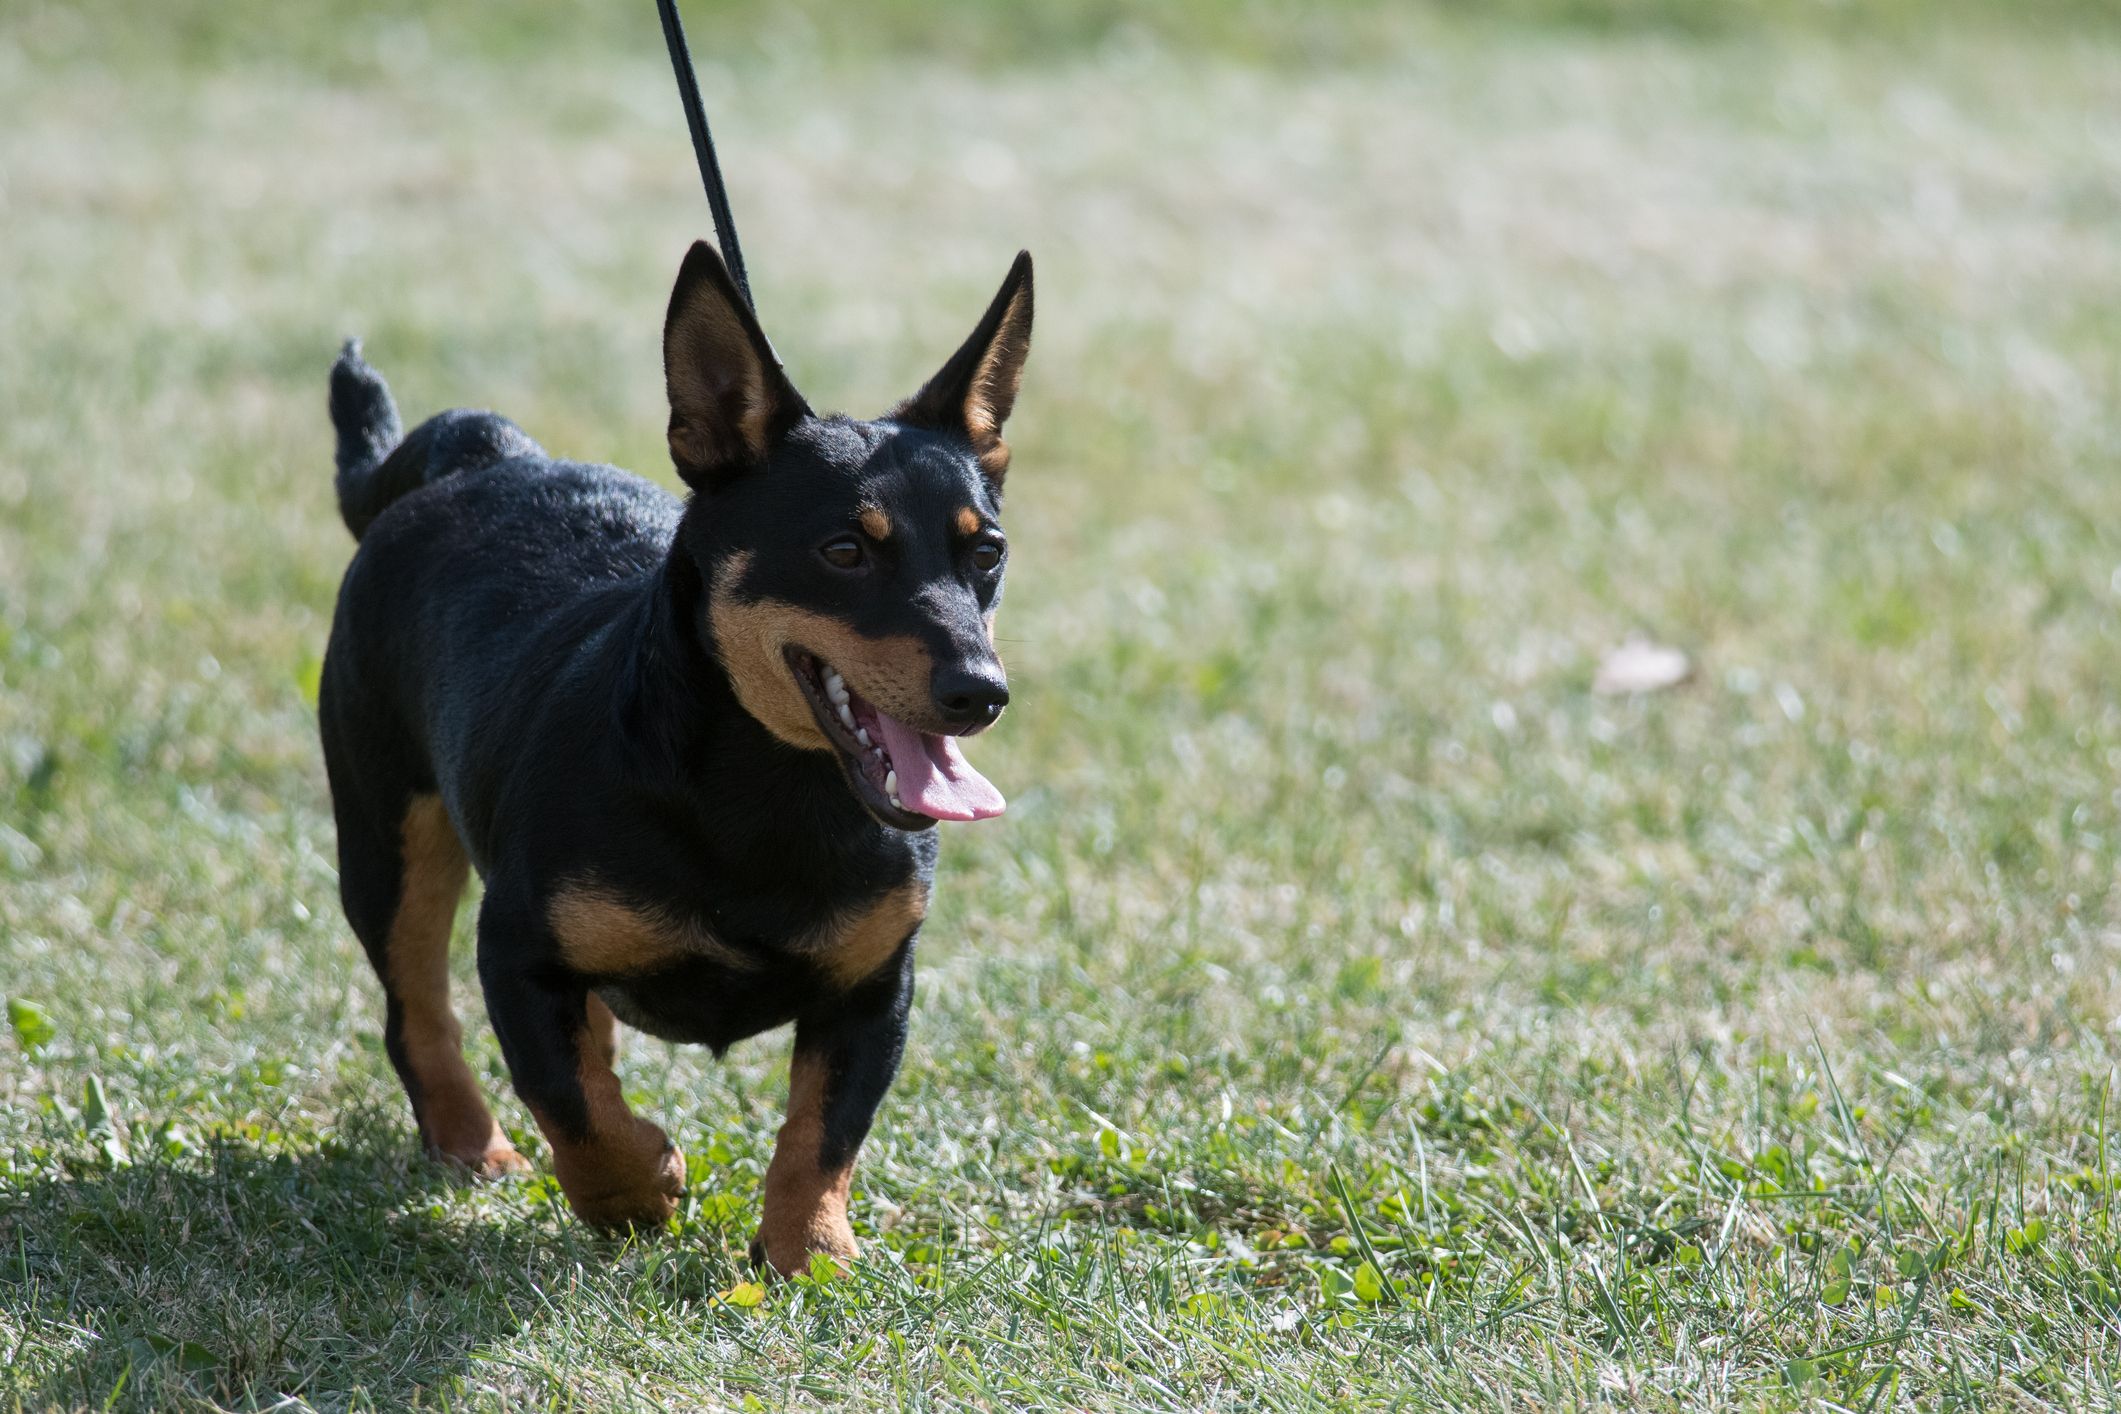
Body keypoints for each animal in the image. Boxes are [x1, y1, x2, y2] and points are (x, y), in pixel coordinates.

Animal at [316, 237, 1035, 1280]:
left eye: (987, 555)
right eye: (843, 551)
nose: (979, 691)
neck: (766, 792)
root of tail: (484, 453)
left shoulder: (874, 988)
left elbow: (823, 1130)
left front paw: (808, 1252)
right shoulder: (516, 951)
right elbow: (570, 1105)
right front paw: (638, 1188)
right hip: (387, 842)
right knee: (419, 1013)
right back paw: (473, 1146)